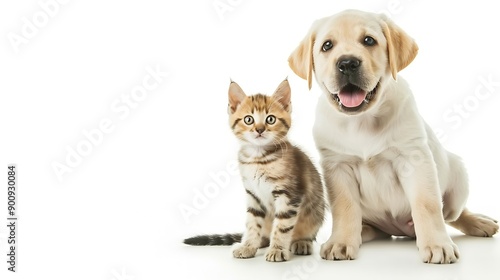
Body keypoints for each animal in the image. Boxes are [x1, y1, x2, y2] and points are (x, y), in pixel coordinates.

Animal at [184, 79, 324, 262]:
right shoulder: (253, 195)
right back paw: (260, 242)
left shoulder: (289, 195)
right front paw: (249, 246)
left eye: (270, 119)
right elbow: (252, 224)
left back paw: (301, 242)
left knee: (307, 231)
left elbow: (282, 226)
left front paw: (277, 249)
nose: (259, 129)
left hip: (316, 211)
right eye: (248, 119)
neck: (258, 158)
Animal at [288, 8, 498, 262]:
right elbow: (345, 207)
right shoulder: (337, 166)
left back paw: (479, 222)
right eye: (327, 46)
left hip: (457, 180)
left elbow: (427, 204)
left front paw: (437, 244)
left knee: (451, 214)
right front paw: (341, 241)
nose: (347, 63)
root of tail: (399, 230)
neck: (362, 121)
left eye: (369, 40)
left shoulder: (415, 158)